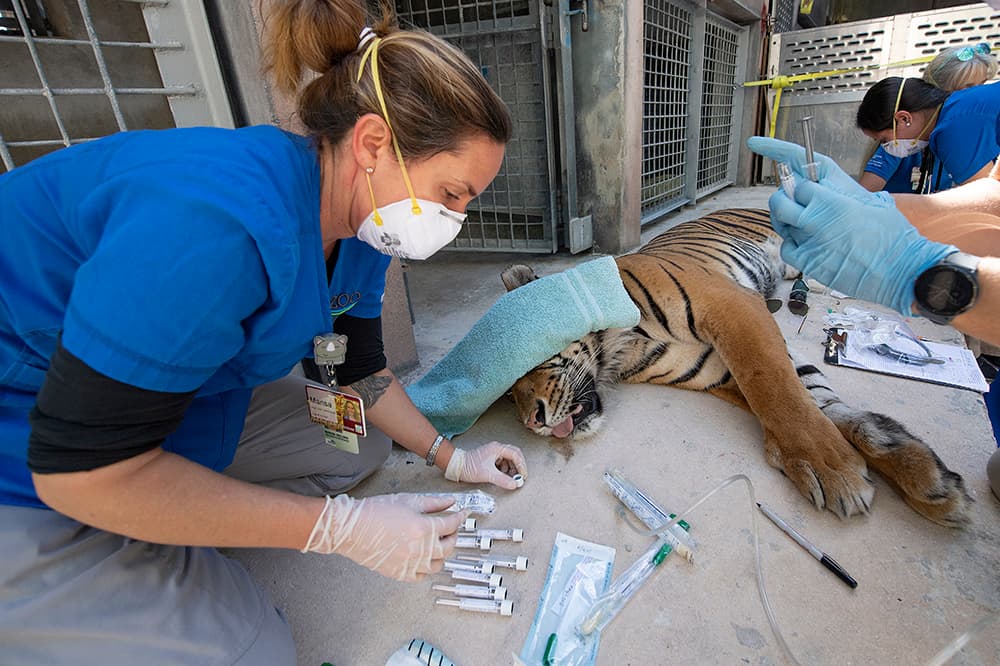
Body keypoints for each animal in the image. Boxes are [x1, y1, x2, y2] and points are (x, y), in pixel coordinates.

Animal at [500, 208, 972, 528]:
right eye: (507, 394)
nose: (533, 421)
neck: (623, 350)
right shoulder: (713, 367)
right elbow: (816, 404)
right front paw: (929, 482)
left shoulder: (730, 307)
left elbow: (776, 391)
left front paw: (830, 471)